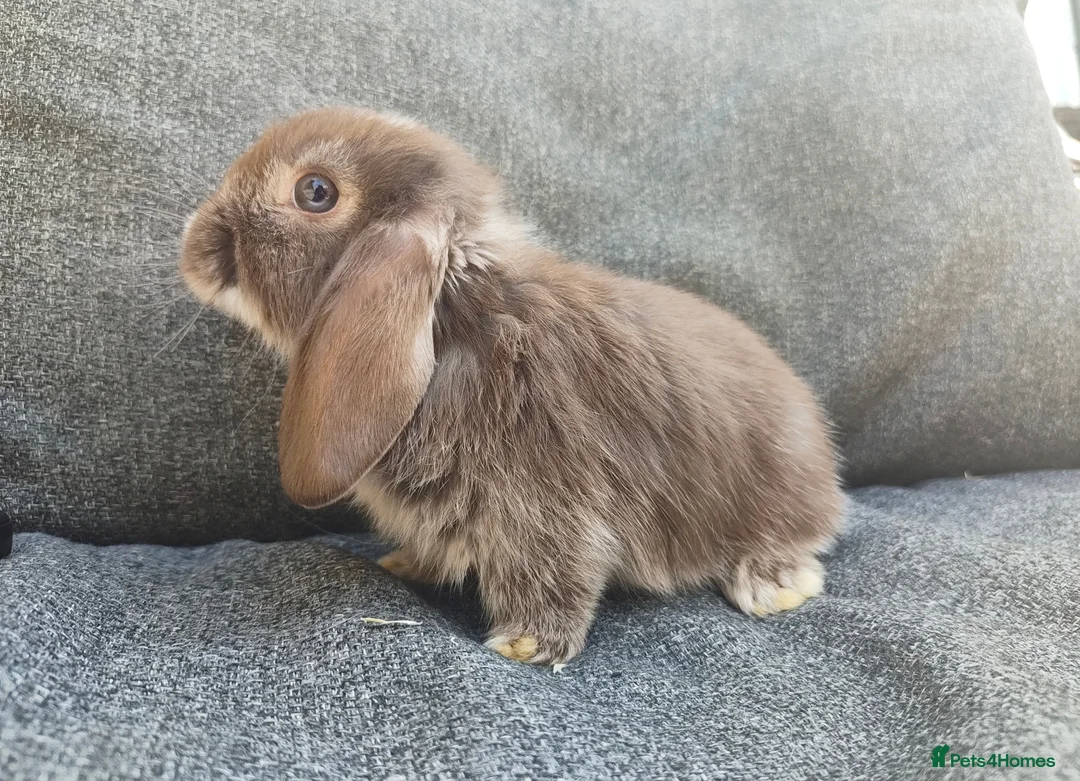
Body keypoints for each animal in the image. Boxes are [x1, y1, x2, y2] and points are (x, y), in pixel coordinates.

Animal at [179, 107, 844, 665]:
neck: (455, 322)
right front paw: (404, 564)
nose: (193, 243)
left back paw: (774, 586)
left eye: (315, 192)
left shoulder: (545, 499)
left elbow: (555, 573)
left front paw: (522, 646)